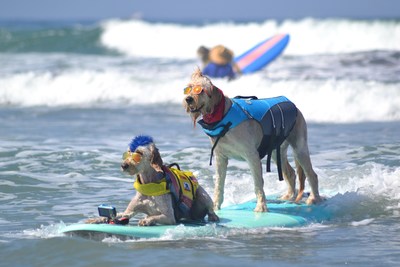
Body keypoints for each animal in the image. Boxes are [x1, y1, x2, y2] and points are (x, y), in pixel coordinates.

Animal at [86, 136, 219, 226]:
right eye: (128, 153)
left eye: (138, 153)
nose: (123, 165)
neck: (149, 184)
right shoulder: (129, 211)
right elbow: (118, 215)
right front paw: (97, 219)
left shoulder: (169, 216)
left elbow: (155, 217)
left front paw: (146, 221)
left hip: (203, 195)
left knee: (210, 208)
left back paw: (213, 216)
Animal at [184, 69, 322, 214]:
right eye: (188, 88)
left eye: (201, 90)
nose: (188, 99)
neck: (221, 116)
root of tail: (294, 105)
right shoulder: (220, 157)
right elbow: (219, 185)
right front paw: (216, 206)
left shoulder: (252, 156)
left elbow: (258, 183)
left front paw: (261, 207)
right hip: (276, 150)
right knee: (290, 173)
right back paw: (288, 197)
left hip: (299, 147)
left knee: (311, 174)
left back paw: (314, 198)